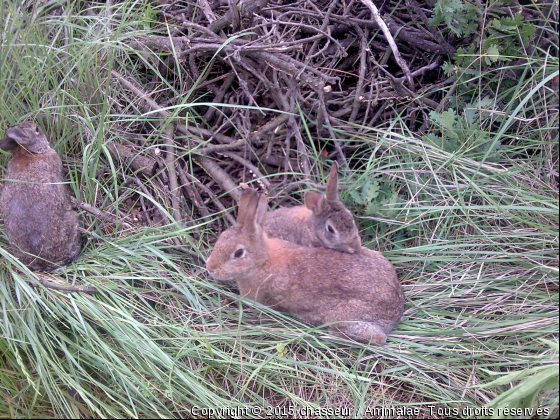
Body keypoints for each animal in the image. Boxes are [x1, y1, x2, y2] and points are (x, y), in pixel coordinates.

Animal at [206, 188, 402, 344]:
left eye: (238, 253)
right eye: (221, 238)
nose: (210, 268)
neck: (263, 261)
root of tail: (396, 310)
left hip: (346, 317)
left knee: (378, 338)